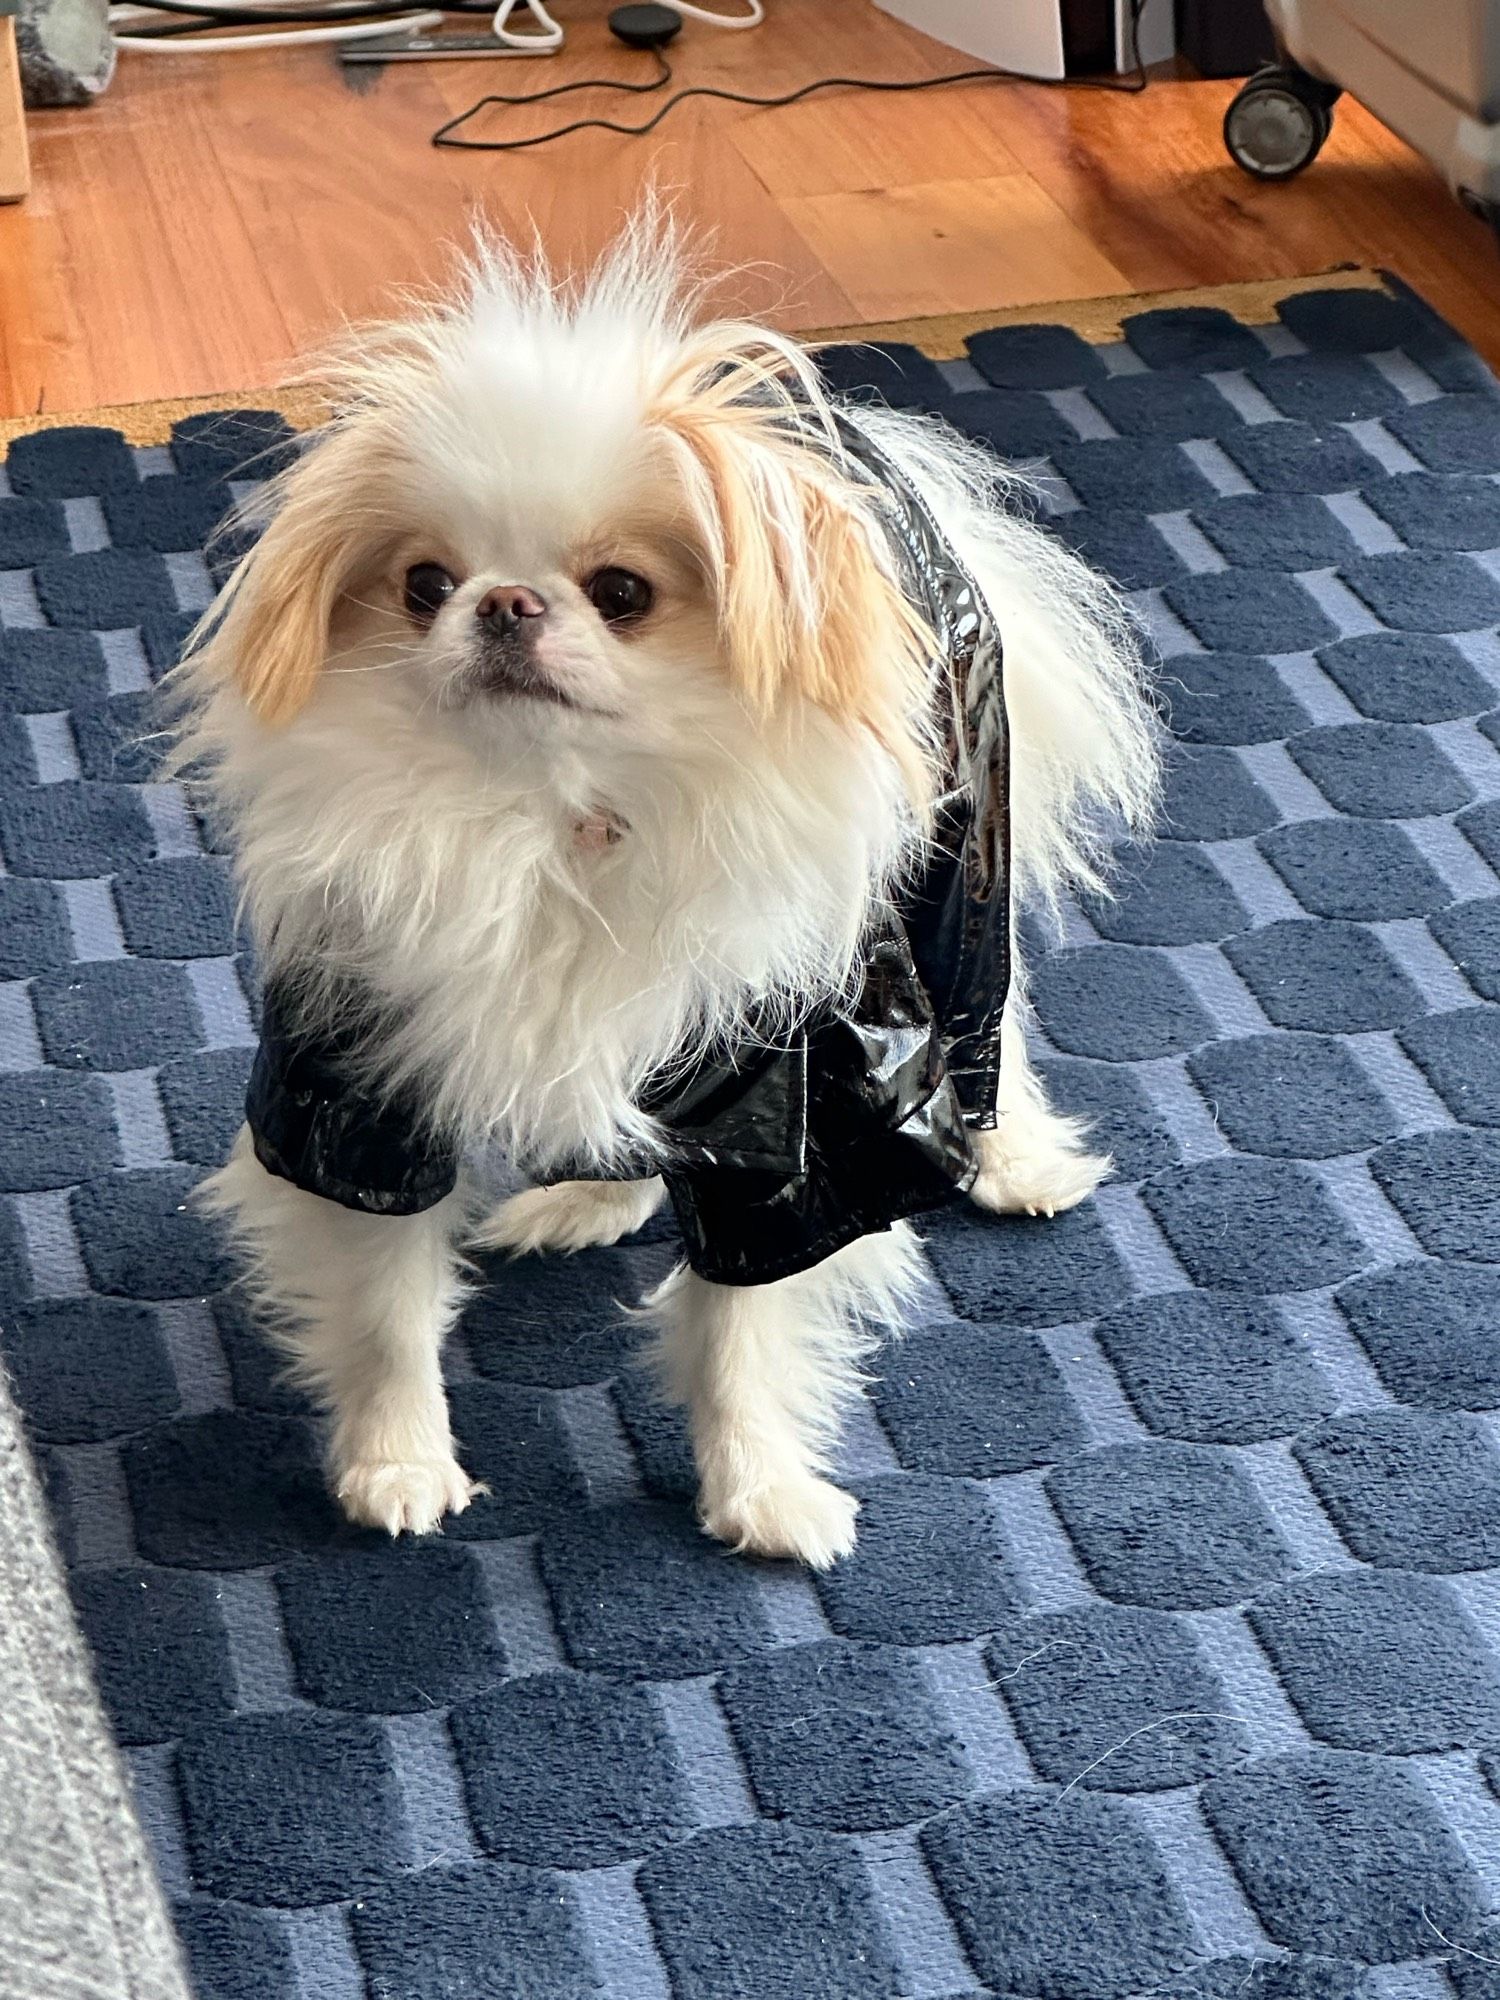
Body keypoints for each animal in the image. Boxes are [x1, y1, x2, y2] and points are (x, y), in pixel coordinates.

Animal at [179, 215, 1160, 1560]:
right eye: (425, 583)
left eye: (624, 593)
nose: (504, 601)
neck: (555, 822)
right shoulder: (357, 1089)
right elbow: (385, 1308)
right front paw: (396, 1463)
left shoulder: (804, 1125)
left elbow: (742, 1334)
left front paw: (761, 1491)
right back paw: (594, 1192)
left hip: (962, 875)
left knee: (984, 1025)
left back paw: (1013, 1161)